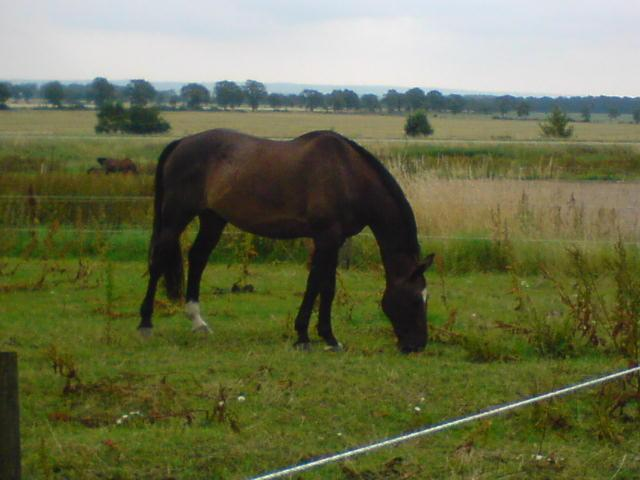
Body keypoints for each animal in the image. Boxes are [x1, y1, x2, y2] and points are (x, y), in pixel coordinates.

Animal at [139, 128, 436, 352]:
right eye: (414, 300)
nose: (417, 346)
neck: (347, 175)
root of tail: (180, 143)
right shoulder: (326, 237)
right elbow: (315, 284)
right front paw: (304, 336)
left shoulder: (334, 241)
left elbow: (327, 287)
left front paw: (329, 338)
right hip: (176, 216)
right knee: (159, 260)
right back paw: (145, 324)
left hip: (213, 219)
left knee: (198, 259)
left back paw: (198, 323)